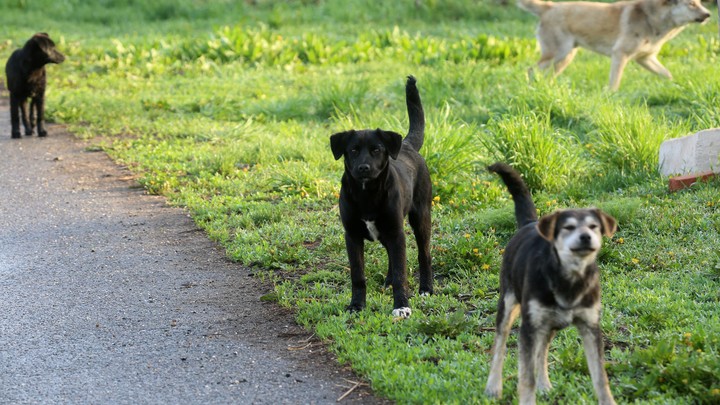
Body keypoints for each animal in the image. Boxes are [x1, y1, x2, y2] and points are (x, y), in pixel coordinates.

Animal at [332, 75, 434, 316]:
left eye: (376, 150)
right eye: (353, 150)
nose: (363, 168)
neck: (367, 194)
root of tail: (406, 144)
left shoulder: (396, 232)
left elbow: (401, 273)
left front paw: (402, 306)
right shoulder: (352, 236)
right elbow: (358, 275)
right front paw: (356, 305)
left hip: (420, 217)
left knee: (424, 254)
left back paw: (426, 288)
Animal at [486, 163, 616, 404]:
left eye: (594, 226)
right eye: (568, 227)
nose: (586, 237)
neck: (570, 278)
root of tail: (530, 224)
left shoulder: (590, 326)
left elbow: (600, 378)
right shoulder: (529, 327)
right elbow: (526, 377)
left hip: (549, 323)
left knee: (543, 350)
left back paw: (544, 385)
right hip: (509, 305)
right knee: (499, 345)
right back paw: (493, 387)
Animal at [520, 0, 712, 90]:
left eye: (699, 3)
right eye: (691, 4)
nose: (709, 14)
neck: (652, 18)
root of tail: (549, 7)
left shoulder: (646, 58)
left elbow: (667, 74)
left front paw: (675, 87)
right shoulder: (620, 54)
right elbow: (615, 82)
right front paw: (611, 96)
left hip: (564, 58)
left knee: (546, 75)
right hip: (558, 54)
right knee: (530, 70)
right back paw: (531, 88)